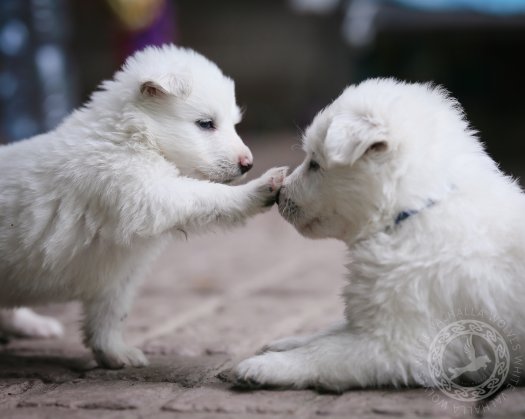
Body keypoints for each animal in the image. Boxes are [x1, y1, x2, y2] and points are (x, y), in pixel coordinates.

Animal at [0, 44, 286, 370]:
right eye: (205, 124)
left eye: (233, 124)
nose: (248, 164)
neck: (133, 136)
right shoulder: (145, 193)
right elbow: (206, 195)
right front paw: (261, 187)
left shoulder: (121, 268)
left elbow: (111, 314)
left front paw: (114, 353)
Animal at [236, 79, 524, 394]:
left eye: (315, 163)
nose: (279, 195)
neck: (411, 212)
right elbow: (333, 330)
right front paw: (285, 343)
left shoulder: (401, 343)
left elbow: (326, 351)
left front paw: (264, 366)